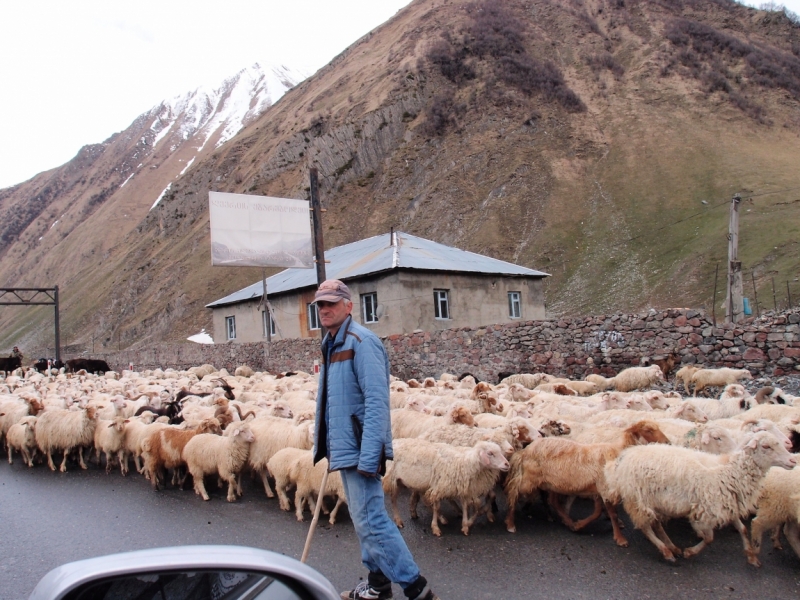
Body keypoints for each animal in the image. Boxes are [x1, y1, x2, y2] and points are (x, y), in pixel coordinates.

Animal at [506, 418, 668, 544]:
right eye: (648, 430)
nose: (667, 442)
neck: (616, 451)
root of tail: (525, 451)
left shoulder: (598, 490)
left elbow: (597, 512)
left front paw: (579, 525)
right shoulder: (604, 487)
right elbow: (612, 514)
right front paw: (620, 539)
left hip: (553, 482)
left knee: (553, 501)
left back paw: (568, 521)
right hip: (530, 479)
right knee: (514, 490)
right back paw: (510, 522)